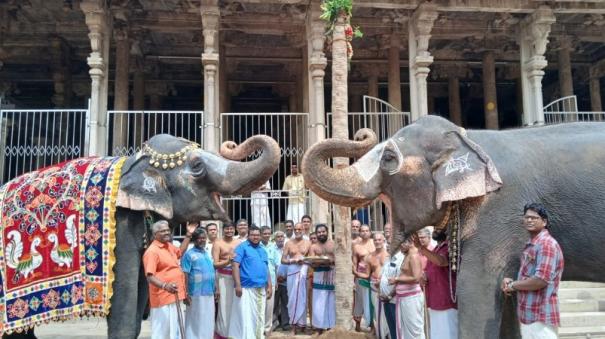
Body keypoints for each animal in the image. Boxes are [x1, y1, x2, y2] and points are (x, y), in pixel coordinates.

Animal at [1, 133, 280, 339]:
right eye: (197, 167)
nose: (232, 144)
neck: (133, 162)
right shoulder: (120, 223)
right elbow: (125, 286)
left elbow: (143, 283)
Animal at [304, 115, 604, 338]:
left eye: (388, 157)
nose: (361, 134)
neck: (469, 139)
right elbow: (504, 295)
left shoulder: (498, 212)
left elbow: (475, 287)